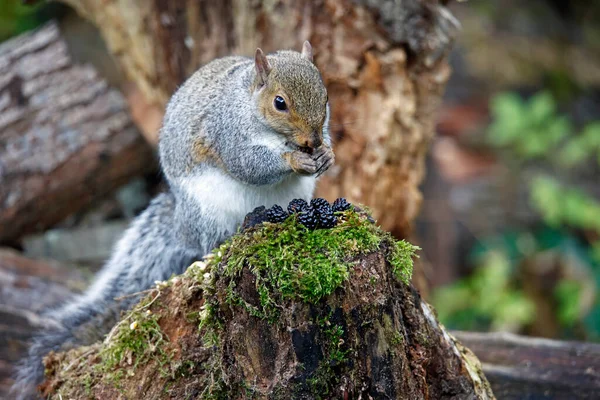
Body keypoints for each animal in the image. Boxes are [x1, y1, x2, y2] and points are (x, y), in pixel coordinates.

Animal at [11, 41, 332, 400]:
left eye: (325, 96)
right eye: (280, 103)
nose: (313, 141)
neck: (250, 104)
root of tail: (182, 225)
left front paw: (327, 155)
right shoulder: (228, 133)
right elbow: (249, 164)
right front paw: (293, 159)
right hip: (209, 213)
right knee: (210, 243)